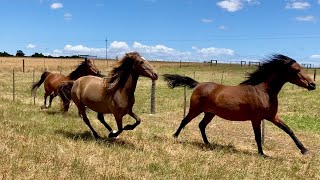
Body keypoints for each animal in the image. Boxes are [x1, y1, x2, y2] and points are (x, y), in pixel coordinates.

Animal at [164, 53, 316, 156]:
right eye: (296, 70)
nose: (313, 85)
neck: (264, 91)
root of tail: (198, 84)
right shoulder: (256, 119)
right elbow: (257, 136)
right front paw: (262, 154)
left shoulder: (272, 117)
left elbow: (289, 130)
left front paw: (304, 150)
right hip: (195, 109)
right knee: (184, 121)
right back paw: (175, 137)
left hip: (210, 113)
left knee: (201, 125)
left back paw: (208, 143)